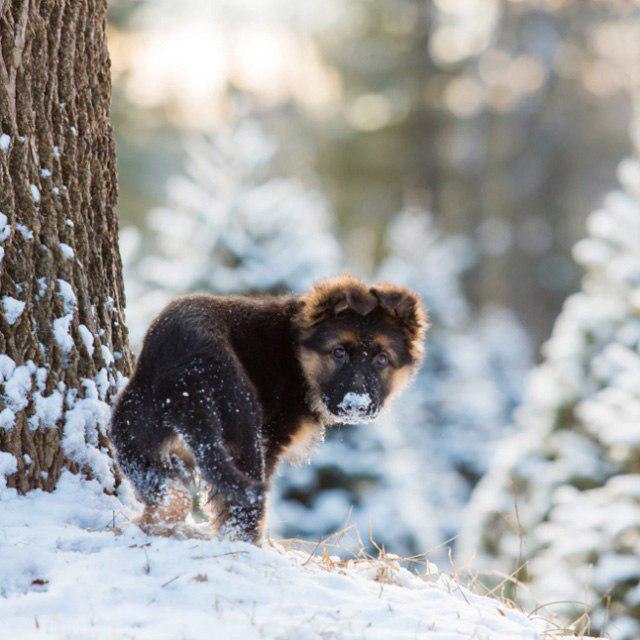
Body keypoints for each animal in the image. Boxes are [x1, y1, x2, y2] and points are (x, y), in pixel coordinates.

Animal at [112, 278, 428, 544]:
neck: (296, 353)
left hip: (132, 437)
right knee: (242, 511)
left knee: (171, 497)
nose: (357, 406)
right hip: (245, 441)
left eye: (382, 359)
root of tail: (190, 375)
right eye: (338, 352)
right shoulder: (271, 441)